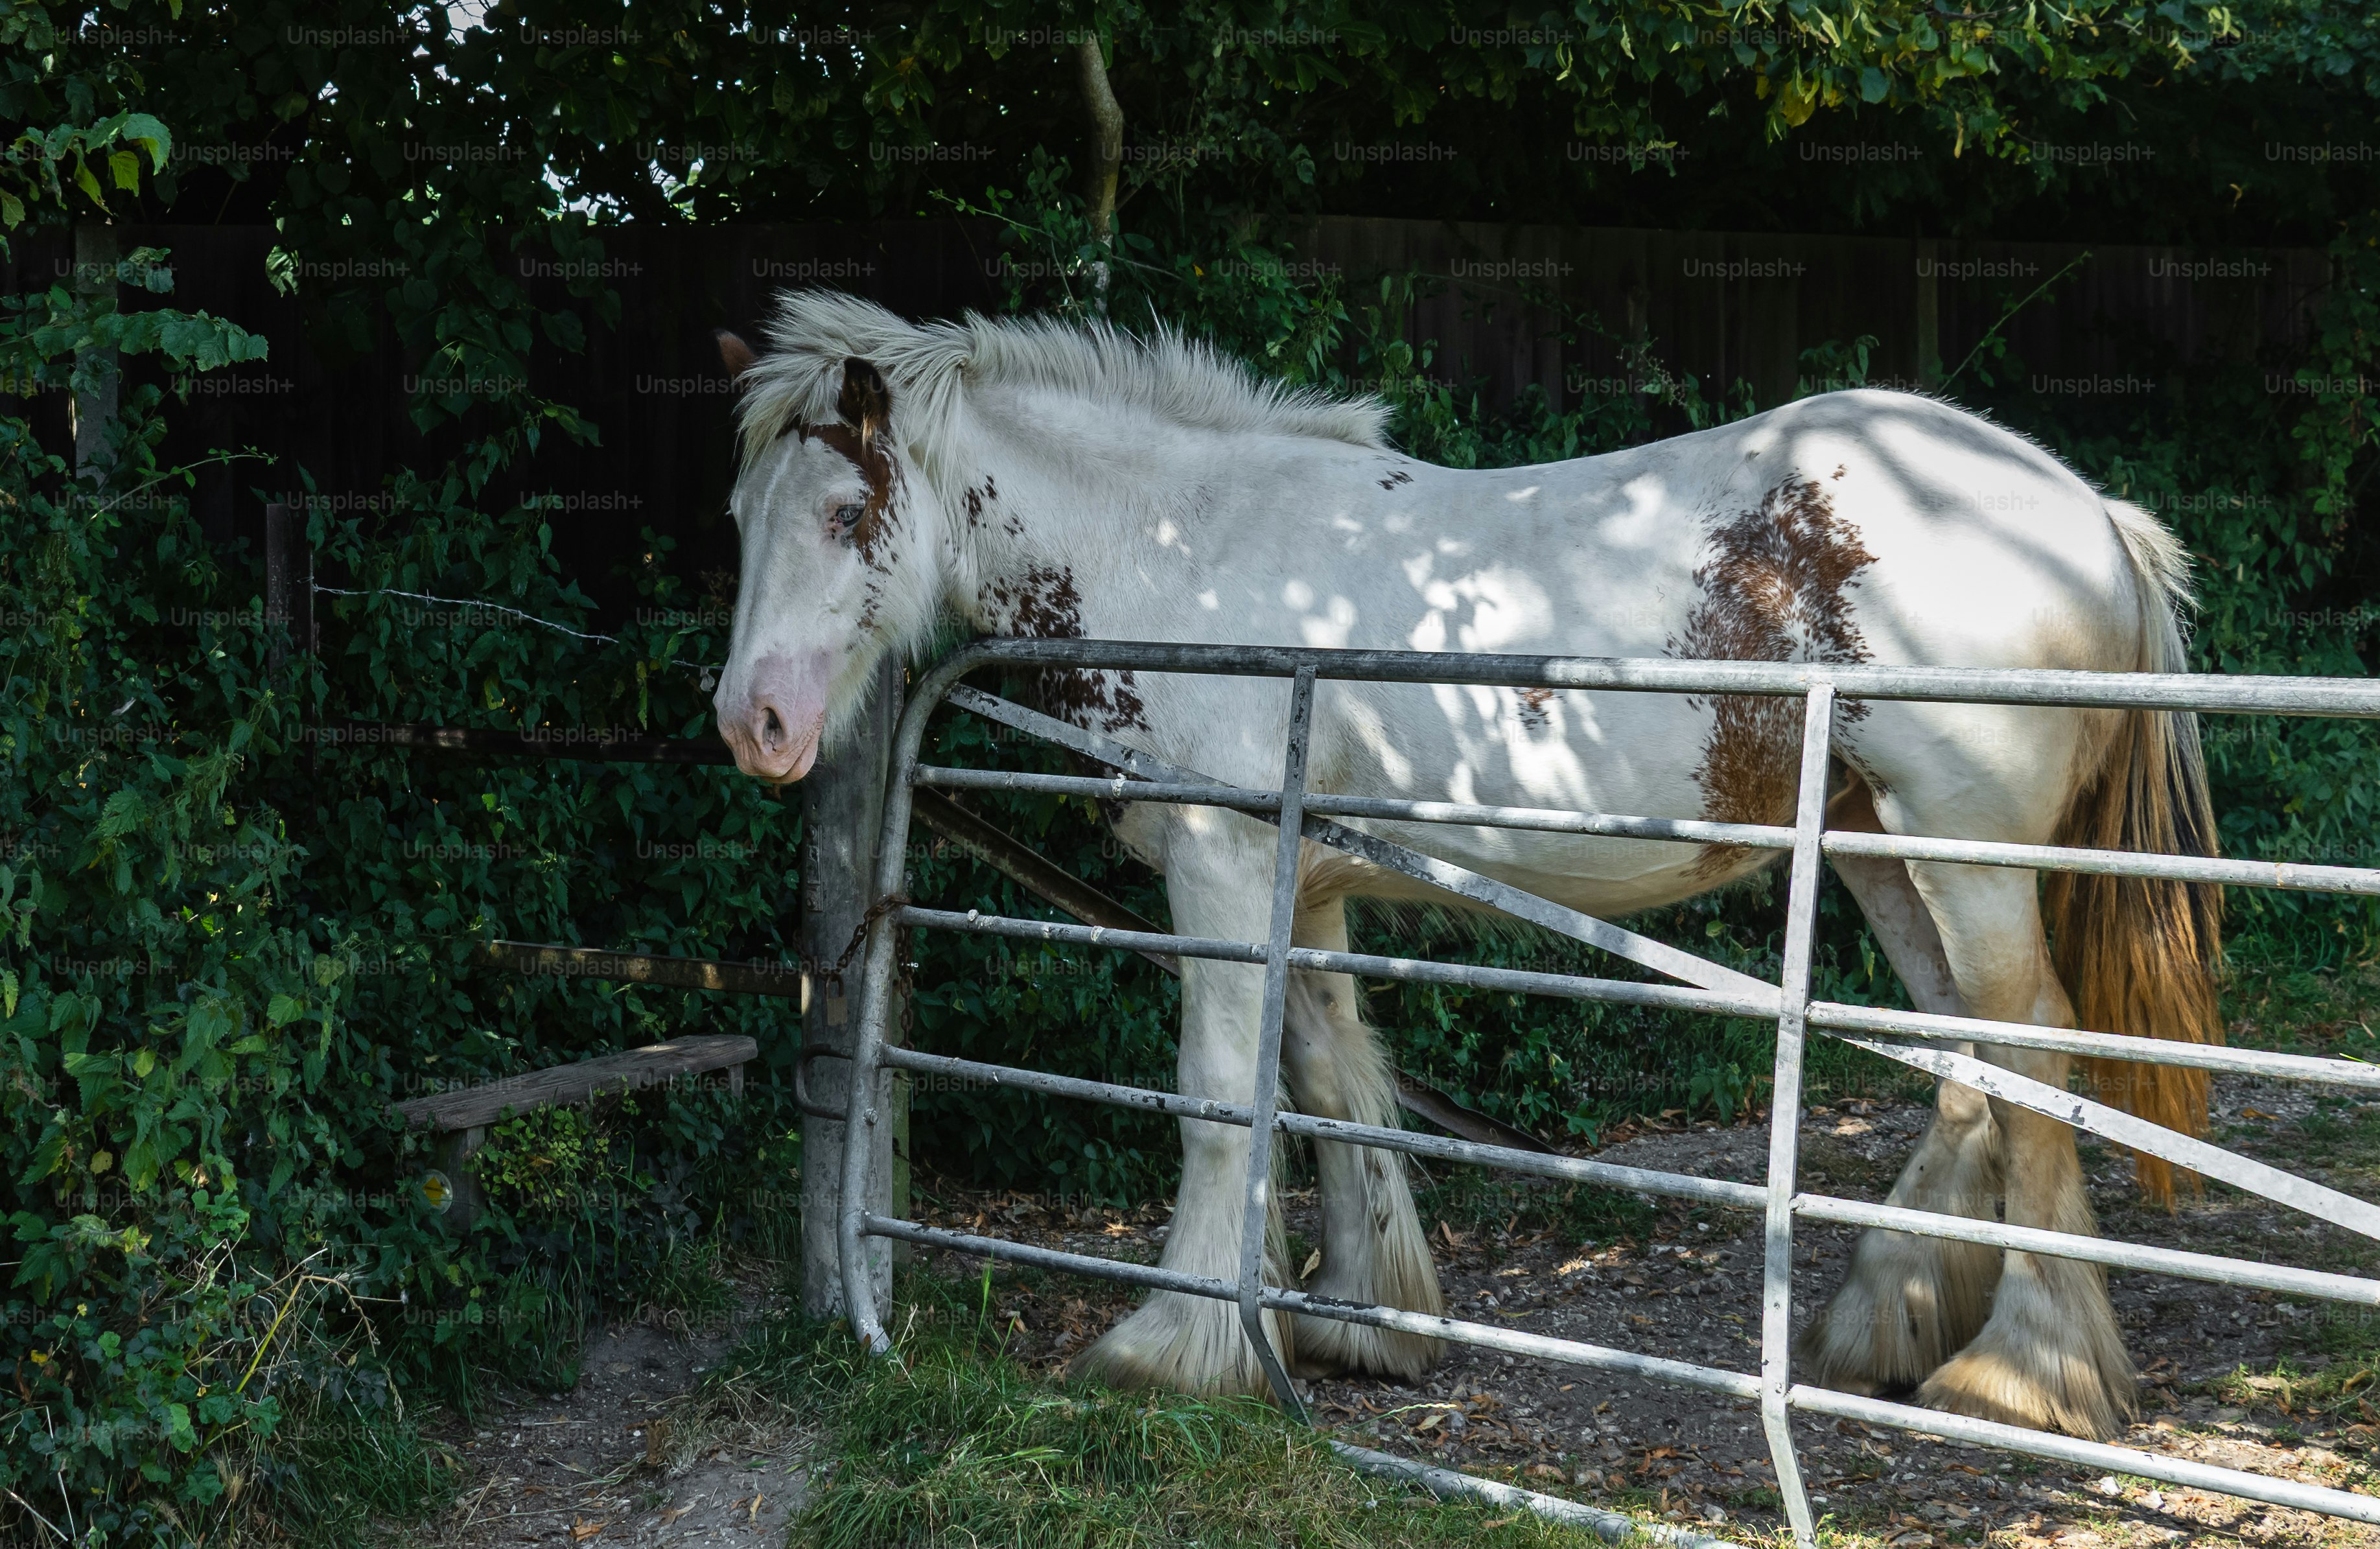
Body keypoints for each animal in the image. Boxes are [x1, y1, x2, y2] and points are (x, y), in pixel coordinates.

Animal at [709, 290, 2221, 1442]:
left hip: (1964, 855)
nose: (753, 723)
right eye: (739, 513)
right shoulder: (1303, 887)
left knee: (2031, 1049)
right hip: (1880, 850)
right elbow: (1328, 1093)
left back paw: (2026, 1374)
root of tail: (2089, 513)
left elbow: (1217, 1100)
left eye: (844, 513)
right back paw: (1885, 1319)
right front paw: (1361, 1322)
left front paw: (1169, 1347)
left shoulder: (1219, 870)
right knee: (1967, 1056)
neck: (1180, 555)